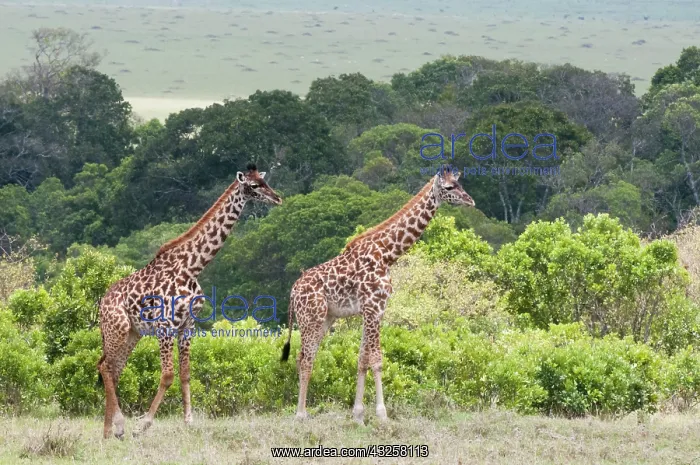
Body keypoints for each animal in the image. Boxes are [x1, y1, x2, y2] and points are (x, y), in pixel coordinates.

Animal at [97, 163, 282, 439]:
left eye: (264, 181)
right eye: (254, 185)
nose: (277, 198)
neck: (193, 267)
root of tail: (102, 304)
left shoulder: (187, 326)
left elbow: (185, 374)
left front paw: (189, 422)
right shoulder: (165, 326)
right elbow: (167, 375)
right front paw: (143, 424)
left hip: (132, 334)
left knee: (111, 368)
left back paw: (109, 432)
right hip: (116, 328)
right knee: (106, 367)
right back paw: (119, 425)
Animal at [280, 169, 475, 423]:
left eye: (460, 183)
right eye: (450, 187)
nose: (470, 201)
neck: (388, 254)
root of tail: (292, 292)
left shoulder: (375, 309)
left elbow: (362, 359)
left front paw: (358, 414)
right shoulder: (373, 306)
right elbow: (376, 360)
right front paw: (382, 414)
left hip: (325, 319)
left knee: (302, 356)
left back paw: (302, 411)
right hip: (311, 317)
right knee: (306, 358)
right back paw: (301, 415)